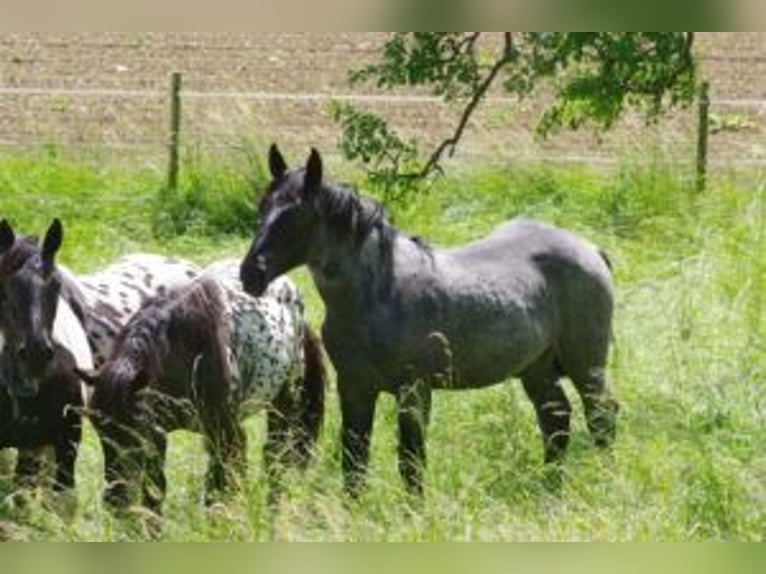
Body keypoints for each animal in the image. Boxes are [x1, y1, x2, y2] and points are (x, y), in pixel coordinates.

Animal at [79, 262, 326, 512]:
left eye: (132, 428)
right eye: (99, 428)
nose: (114, 500)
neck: (185, 349)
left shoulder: (226, 432)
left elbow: (222, 485)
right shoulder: (157, 434)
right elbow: (156, 489)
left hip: (284, 401)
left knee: (276, 455)